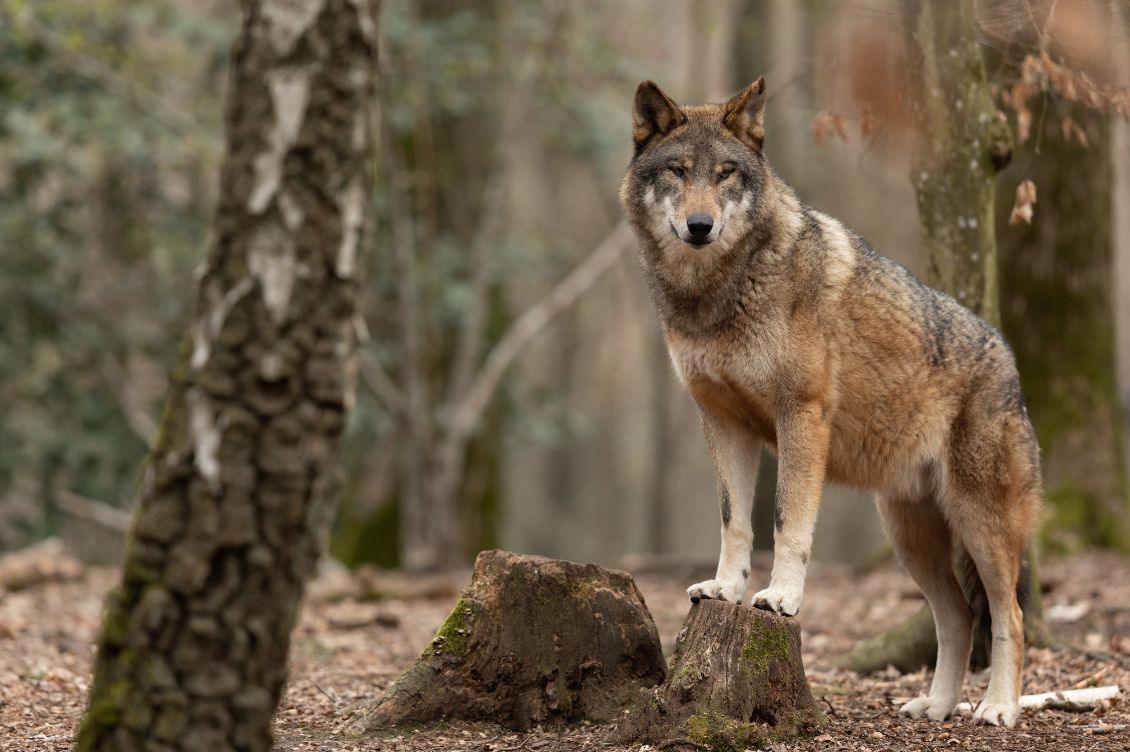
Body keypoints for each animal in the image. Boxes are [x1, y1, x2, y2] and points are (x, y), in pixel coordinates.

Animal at [619, 78, 1041, 728]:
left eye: (724, 174)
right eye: (678, 171)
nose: (700, 225)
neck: (718, 292)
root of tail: (1009, 357)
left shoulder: (801, 415)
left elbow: (786, 521)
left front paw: (780, 598)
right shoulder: (722, 422)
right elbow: (735, 522)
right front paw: (724, 590)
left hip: (980, 526)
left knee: (1008, 617)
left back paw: (997, 709)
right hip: (909, 537)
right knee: (958, 616)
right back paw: (937, 706)